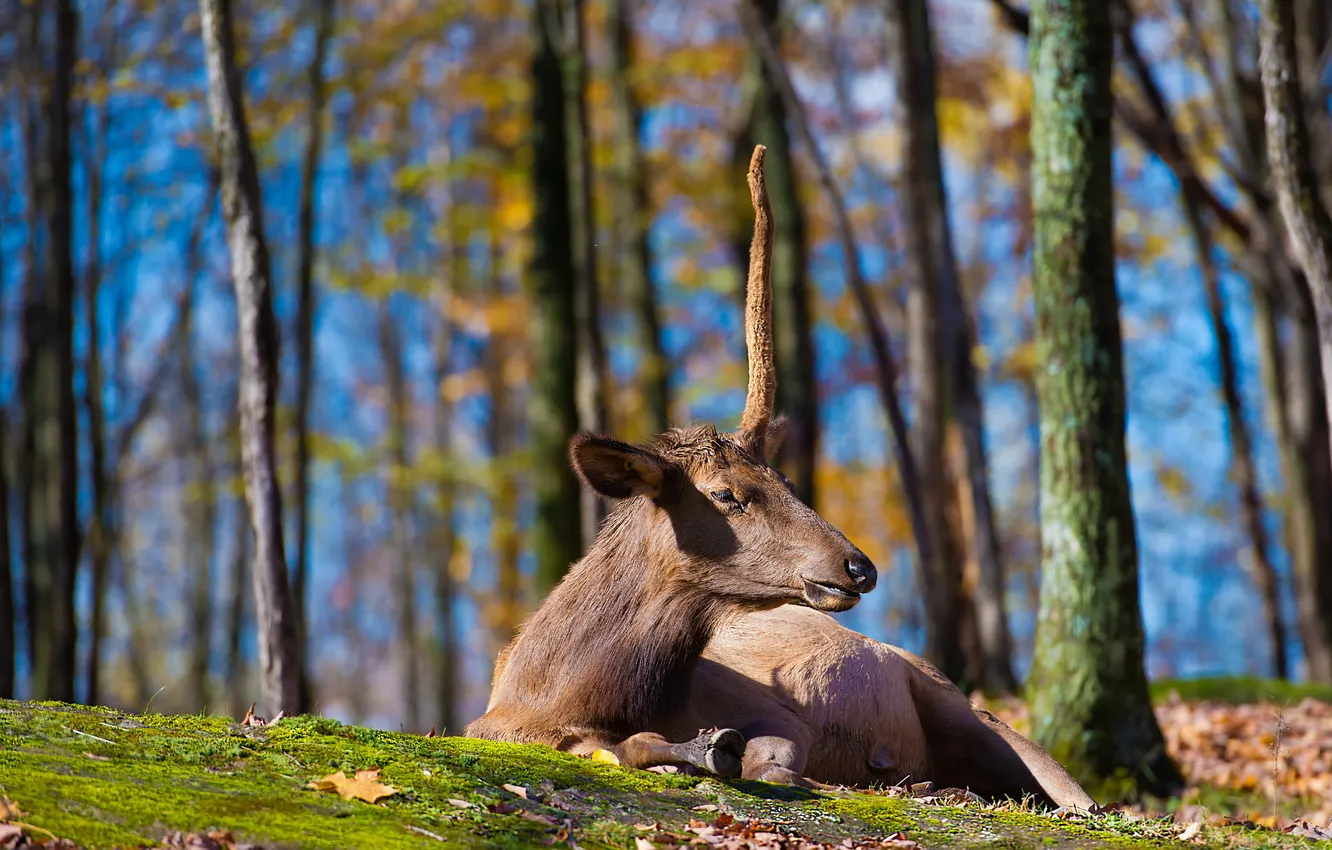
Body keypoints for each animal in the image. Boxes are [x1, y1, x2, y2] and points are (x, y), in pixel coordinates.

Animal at [463, 145, 879, 778]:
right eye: (726, 493)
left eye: (787, 480)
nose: (859, 567)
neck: (549, 696)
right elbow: (622, 745)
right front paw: (702, 746)